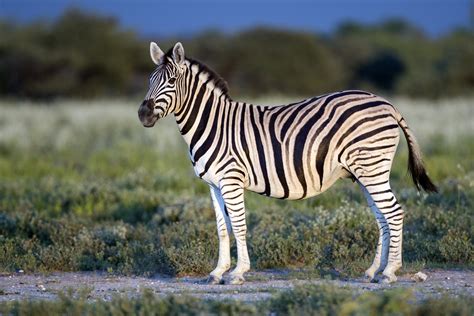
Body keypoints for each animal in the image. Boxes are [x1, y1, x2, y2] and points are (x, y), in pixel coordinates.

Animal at [137, 40, 436, 286]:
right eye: (149, 80)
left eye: (171, 80)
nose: (143, 114)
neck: (213, 124)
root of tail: (386, 103)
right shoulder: (213, 185)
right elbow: (222, 229)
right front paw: (217, 272)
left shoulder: (231, 180)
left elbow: (239, 225)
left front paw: (237, 273)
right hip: (365, 173)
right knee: (383, 218)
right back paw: (374, 270)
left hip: (372, 168)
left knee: (394, 213)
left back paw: (389, 272)